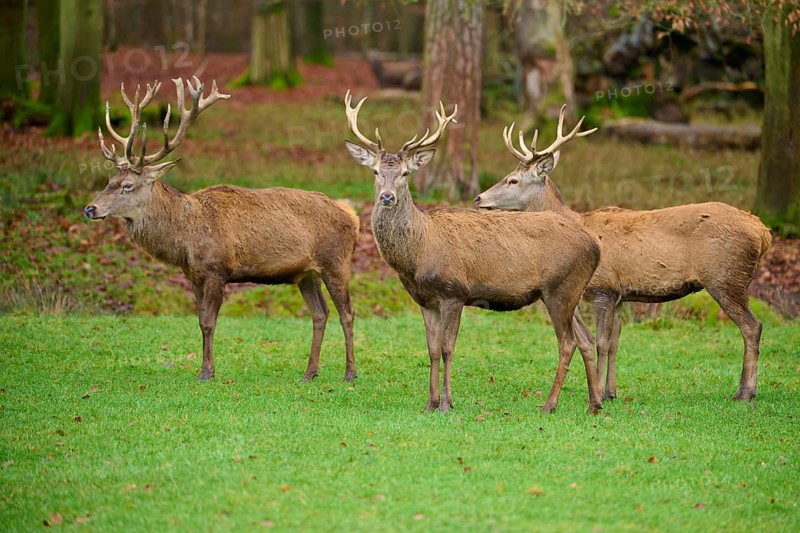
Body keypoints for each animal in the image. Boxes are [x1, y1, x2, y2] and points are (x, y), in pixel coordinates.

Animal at [84, 78, 359, 382]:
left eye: (127, 185)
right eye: (108, 181)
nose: (90, 209)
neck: (185, 239)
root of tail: (352, 216)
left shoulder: (217, 269)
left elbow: (209, 322)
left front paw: (207, 371)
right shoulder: (193, 275)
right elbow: (200, 320)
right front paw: (204, 368)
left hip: (336, 261)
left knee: (347, 313)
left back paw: (350, 373)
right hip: (306, 274)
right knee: (320, 313)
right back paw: (309, 372)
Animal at [343, 90, 604, 413]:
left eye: (405, 173)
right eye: (376, 171)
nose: (387, 197)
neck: (418, 253)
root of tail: (595, 246)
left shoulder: (454, 291)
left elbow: (447, 349)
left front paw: (447, 403)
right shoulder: (425, 300)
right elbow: (430, 349)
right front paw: (429, 403)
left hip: (560, 288)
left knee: (567, 342)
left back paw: (549, 404)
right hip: (569, 292)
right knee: (585, 338)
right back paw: (594, 404)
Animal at [474, 105, 772, 402]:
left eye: (513, 180)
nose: (478, 198)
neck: (577, 222)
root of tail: (763, 232)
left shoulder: (602, 288)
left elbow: (602, 342)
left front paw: (597, 393)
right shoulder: (620, 294)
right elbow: (616, 342)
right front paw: (611, 391)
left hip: (726, 277)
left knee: (752, 326)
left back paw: (745, 392)